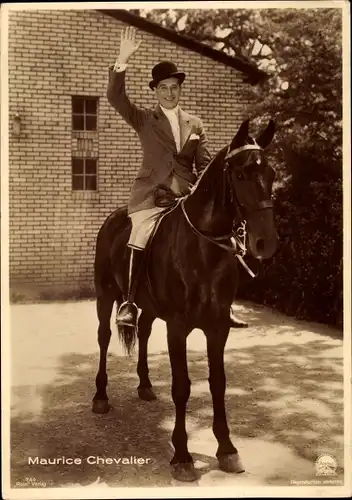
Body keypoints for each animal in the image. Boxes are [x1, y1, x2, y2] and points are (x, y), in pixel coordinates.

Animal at [93, 119, 278, 482]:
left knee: (144, 331)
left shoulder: (218, 328)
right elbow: (182, 387)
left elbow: (218, 383)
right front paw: (182, 456)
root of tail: (115, 217)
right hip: (104, 295)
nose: (266, 242)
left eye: (272, 173)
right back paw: (101, 397)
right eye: (241, 174)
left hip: (149, 308)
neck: (204, 249)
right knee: (104, 338)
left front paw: (227, 449)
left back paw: (145, 385)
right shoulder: (178, 328)